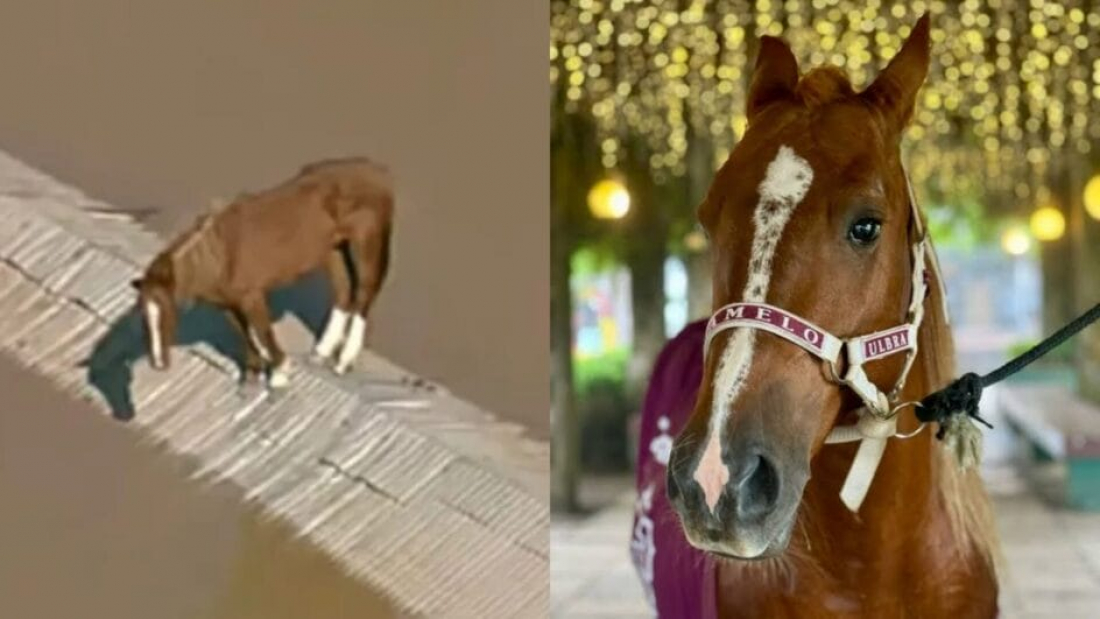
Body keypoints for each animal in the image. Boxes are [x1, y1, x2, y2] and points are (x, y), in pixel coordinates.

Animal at [131, 157, 393, 388]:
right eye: (143, 315)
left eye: (168, 312)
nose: (158, 363)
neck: (218, 256)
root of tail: (377, 171)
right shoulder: (228, 304)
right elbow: (245, 334)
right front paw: (253, 373)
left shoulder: (252, 297)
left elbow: (262, 331)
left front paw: (279, 374)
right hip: (333, 249)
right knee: (344, 290)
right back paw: (321, 352)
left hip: (367, 242)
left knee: (364, 292)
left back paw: (344, 361)